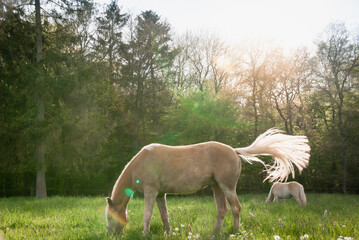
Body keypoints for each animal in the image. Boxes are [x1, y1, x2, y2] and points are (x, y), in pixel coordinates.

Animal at [105, 128, 310, 235]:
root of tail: (234, 150)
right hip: (216, 187)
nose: (110, 235)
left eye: (109, 217)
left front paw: (145, 234)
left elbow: (147, 215)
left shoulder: (151, 192)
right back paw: (214, 233)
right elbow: (164, 215)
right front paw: (168, 232)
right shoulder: (160, 194)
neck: (141, 163)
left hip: (227, 187)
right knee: (222, 210)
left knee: (235, 208)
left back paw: (234, 232)